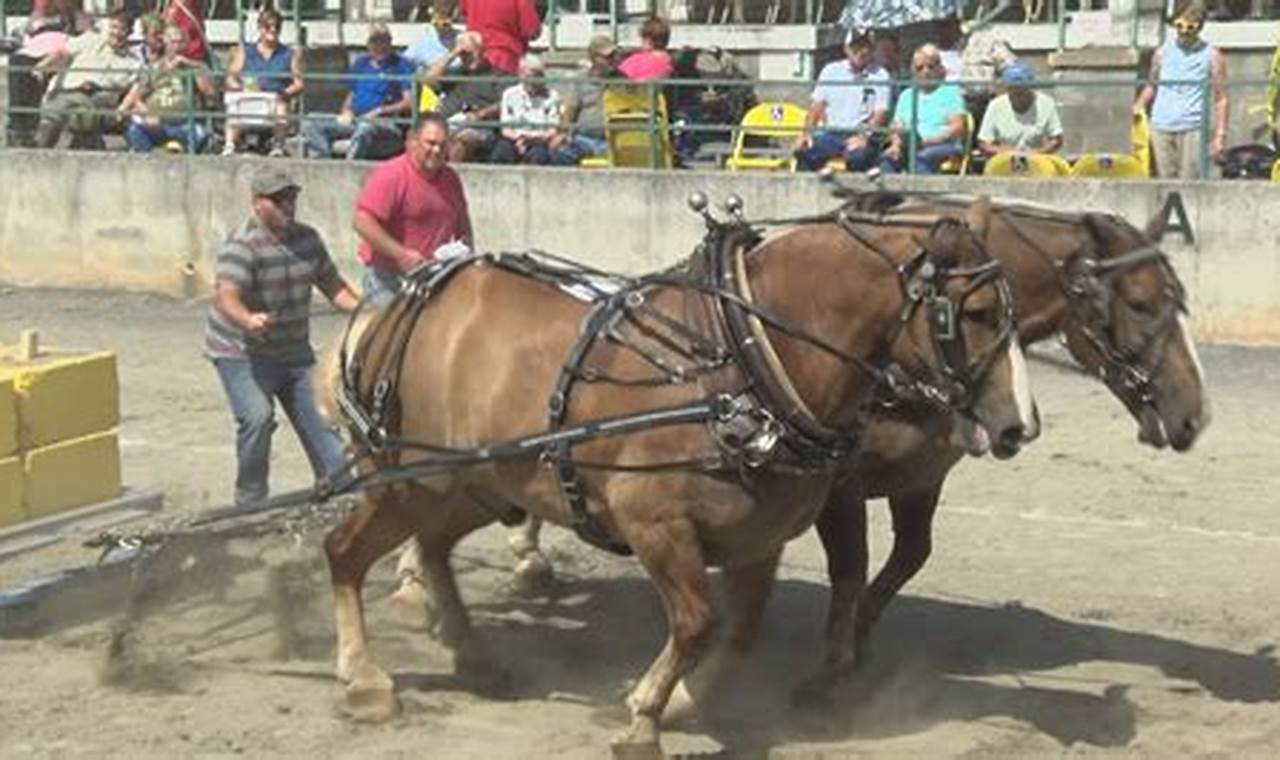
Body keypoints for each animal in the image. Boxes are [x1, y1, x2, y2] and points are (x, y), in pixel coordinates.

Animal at [322, 193, 1039, 752]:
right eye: (976, 314)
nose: (1019, 425)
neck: (747, 356)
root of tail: (405, 301)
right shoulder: (655, 522)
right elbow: (695, 620)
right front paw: (644, 715)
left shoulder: (760, 537)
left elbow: (740, 633)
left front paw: (688, 700)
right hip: (410, 480)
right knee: (345, 551)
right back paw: (364, 679)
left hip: (474, 483)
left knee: (433, 548)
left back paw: (472, 658)